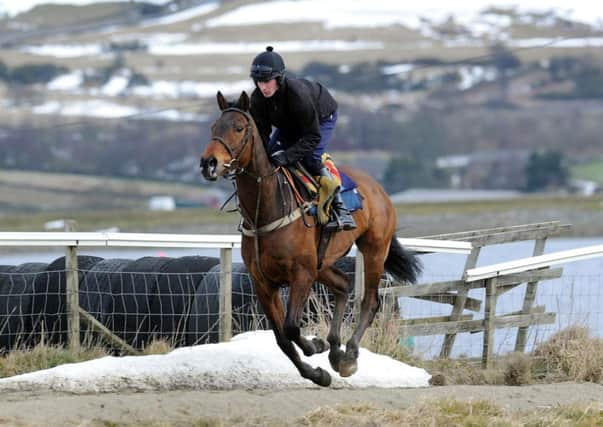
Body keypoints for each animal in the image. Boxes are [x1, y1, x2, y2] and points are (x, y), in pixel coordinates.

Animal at [198, 91, 420, 388]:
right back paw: (336, 350)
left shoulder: (301, 274)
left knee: (370, 301)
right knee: (343, 285)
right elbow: (282, 339)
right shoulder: (263, 283)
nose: (208, 163)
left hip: (374, 249)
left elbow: (292, 327)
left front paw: (315, 345)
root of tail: (378, 189)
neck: (267, 208)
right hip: (322, 262)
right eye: (214, 127)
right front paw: (317, 372)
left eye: (239, 128)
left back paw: (349, 355)